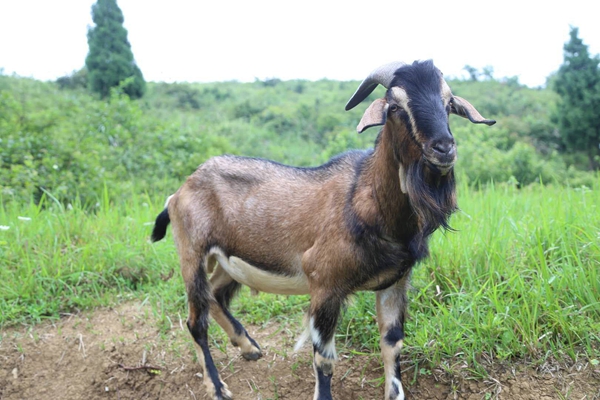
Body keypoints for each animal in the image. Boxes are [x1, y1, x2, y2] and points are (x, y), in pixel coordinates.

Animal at [152, 60, 494, 400]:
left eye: (448, 103)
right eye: (395, 105)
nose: (443, 148)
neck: (368, 199)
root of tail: (180, 191)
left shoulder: (396, 281)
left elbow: (392, 343)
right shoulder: (325, 283)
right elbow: (324, 357)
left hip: (231, 261)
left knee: (216, 294)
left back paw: (249, 347)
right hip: (192, 253)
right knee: (197, 322)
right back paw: (218, 386)